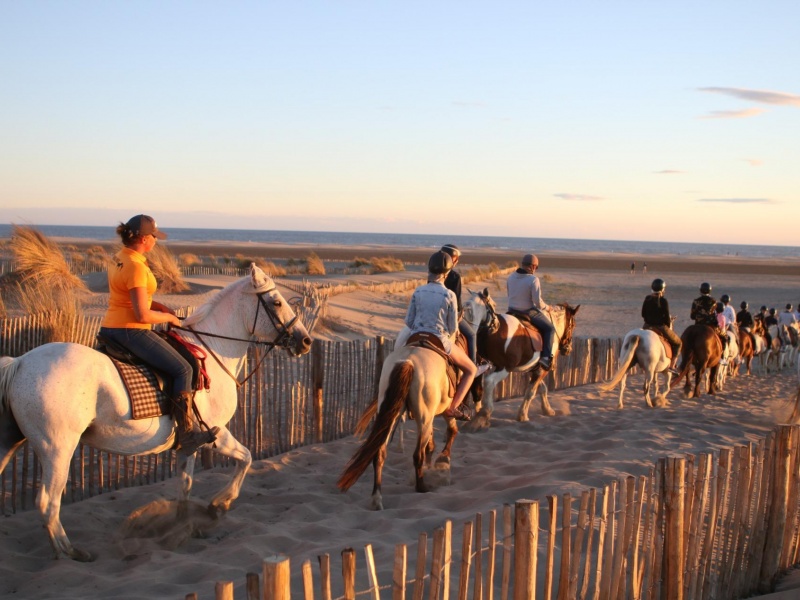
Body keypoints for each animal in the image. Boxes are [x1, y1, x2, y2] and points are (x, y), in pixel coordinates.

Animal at [0, 264, 312, 560]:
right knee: (47, 503)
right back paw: (70, 552)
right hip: (57, 448)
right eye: (276, 302)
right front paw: (219, 503)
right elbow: (245, 458)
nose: (305, 341)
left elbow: (185, 485)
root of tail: (20, 362)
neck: (212, 350)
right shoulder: (215, 432)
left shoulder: (189, 443)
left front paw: (183, 526)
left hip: (10, 443)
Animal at [338, 340, 462, 508]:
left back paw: (377, 499)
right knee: (417, 454)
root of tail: (408, 362)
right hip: (423, 418)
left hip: (393, 414)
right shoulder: (446, 410)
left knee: (379, 453)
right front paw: (443, 460)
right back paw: (421, 487)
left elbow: (434, 442)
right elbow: (451, 431)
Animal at [456, 290, 576, 426]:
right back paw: (484, 413)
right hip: (504, 368)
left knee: (476, 389)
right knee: (489, 382)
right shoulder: (542, 369)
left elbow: (542, 388)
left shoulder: (534, 368)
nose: (567, 349)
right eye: (573, 325)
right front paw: (523, 415)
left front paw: (547, 410)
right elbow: (531, 392)